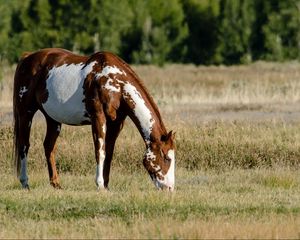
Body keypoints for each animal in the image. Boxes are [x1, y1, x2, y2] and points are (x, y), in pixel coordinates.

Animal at [12, 48, 176, 191]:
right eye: (167, 158)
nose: (169, 188)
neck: (115, 82)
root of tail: (27, 57)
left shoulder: (117, 123)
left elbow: (109, 153)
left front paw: (107, 185)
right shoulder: (98, 117)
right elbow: (100, 151)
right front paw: (100, 184)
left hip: (52, 118)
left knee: (49, 146)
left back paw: (56, 184)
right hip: (26, 113)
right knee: (24, 145)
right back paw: (25, 182)